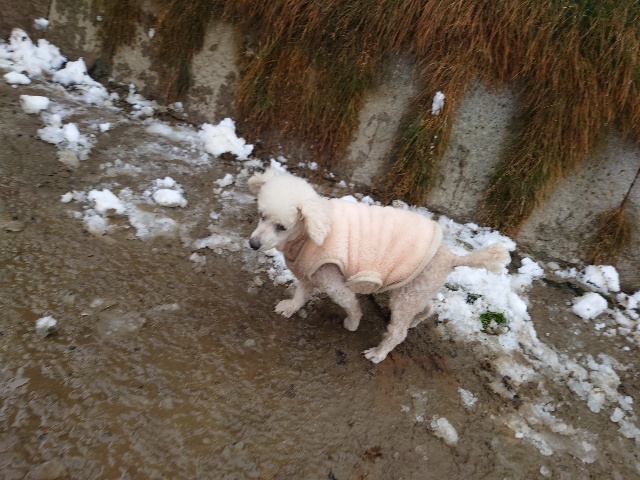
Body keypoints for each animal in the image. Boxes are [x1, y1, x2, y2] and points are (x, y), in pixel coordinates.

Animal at [248, 168, 510, 363]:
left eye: (281, 227)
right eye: (261, 215)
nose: (252, 244)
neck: (308, 234)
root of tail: (451, 257)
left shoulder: (333, 281)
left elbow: (350, 304)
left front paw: (352, 323)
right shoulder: (309, 272)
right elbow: (302, 293)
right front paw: (291, 307)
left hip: (405, 296)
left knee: (398, 332)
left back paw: (379, 353)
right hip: (416, 291)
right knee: (427, 308)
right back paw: (415, 321)